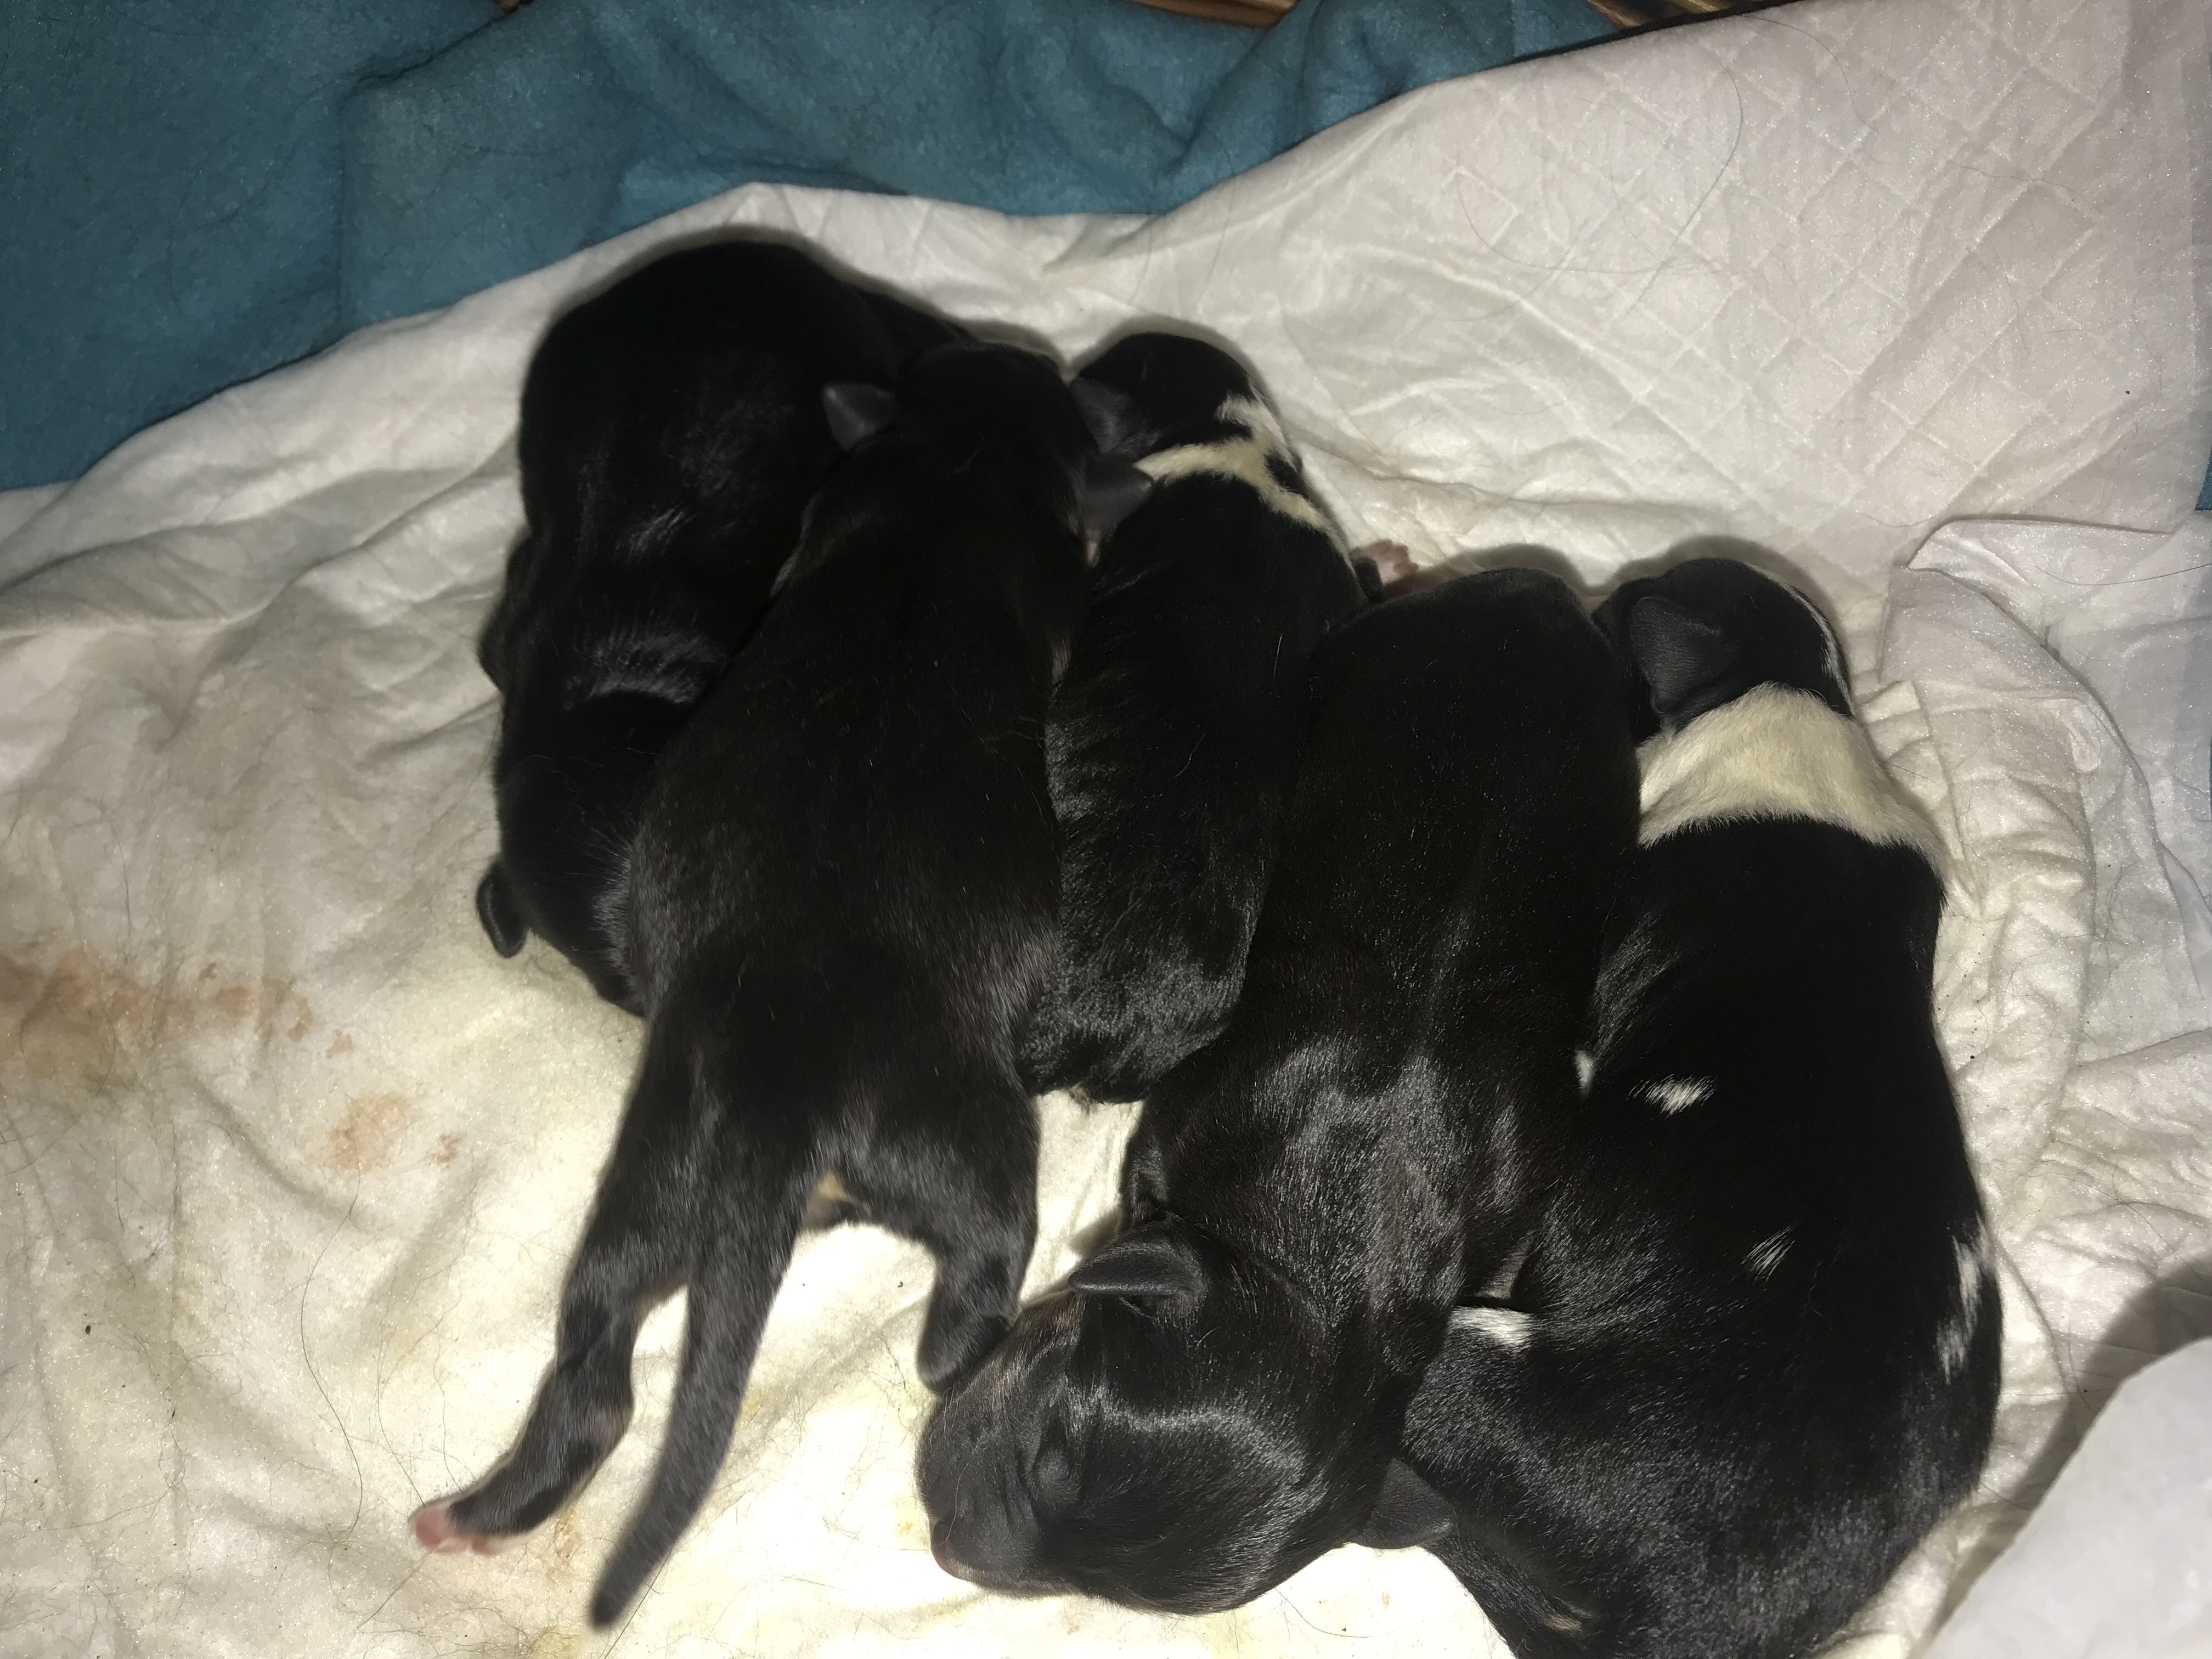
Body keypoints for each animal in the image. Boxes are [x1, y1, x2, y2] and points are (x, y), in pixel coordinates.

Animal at [415, 341, 1153, 1624]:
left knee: (596, 1362)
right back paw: (966, 1346)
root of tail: (778, 1096)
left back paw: (473, 1513)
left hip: (654, 1183)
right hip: (961, 1133)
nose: (1021, 355)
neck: (959, 464)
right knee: (985, 1251)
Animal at [919, 568, 1639, 1611]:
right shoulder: (1179, 1122)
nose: (948, 1547)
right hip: (1369, 650)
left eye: (1111, 1597)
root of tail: (1540, 591)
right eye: (1056, 1450)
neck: (1332, 1255)